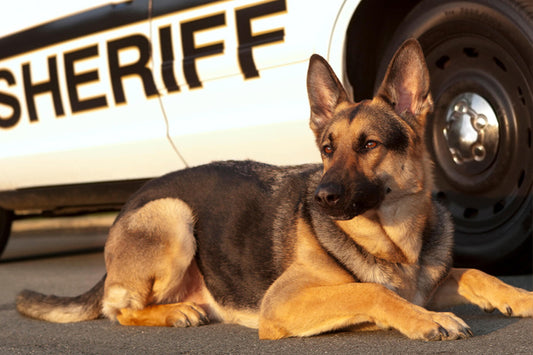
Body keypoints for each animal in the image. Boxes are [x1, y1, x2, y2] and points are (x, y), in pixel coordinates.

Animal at [16, 39, 532, 342]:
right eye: (327, 149)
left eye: (369, 145)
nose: (321, 196)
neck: (395, 241)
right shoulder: (284, 303)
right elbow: (371, 292)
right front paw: (427, 320)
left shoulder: (429, 278)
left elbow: (473, 272)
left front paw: (519, 297)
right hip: (173, 215)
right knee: (118, 310)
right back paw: (176, 312)